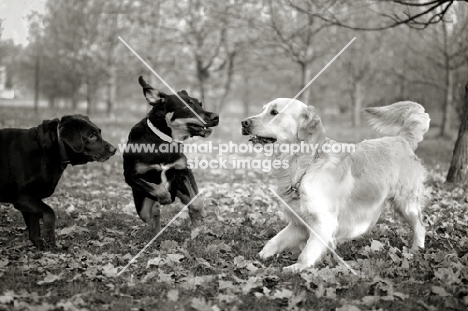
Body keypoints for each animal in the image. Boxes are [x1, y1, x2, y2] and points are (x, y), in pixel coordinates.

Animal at [0, 115, 116, 249]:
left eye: (99, 132)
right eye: (91, 136)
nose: (114, 149)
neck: (51, 150)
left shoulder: (29, 197)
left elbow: (34, 228)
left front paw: (40, 245)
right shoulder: (21, 196)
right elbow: (49, 211)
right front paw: (49, 236)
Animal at [124, 75, 219, 232]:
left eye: (200, 104)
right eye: (186, 107)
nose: (216, 117)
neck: (163, 141)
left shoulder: (184, 171)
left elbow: (196, 201)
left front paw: (200, 213)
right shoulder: (131, 176)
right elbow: (156, 188)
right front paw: (164, 197)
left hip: (182, 190)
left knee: (189, 204)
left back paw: (195, 228)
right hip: (142, 206)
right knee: (152, 215)